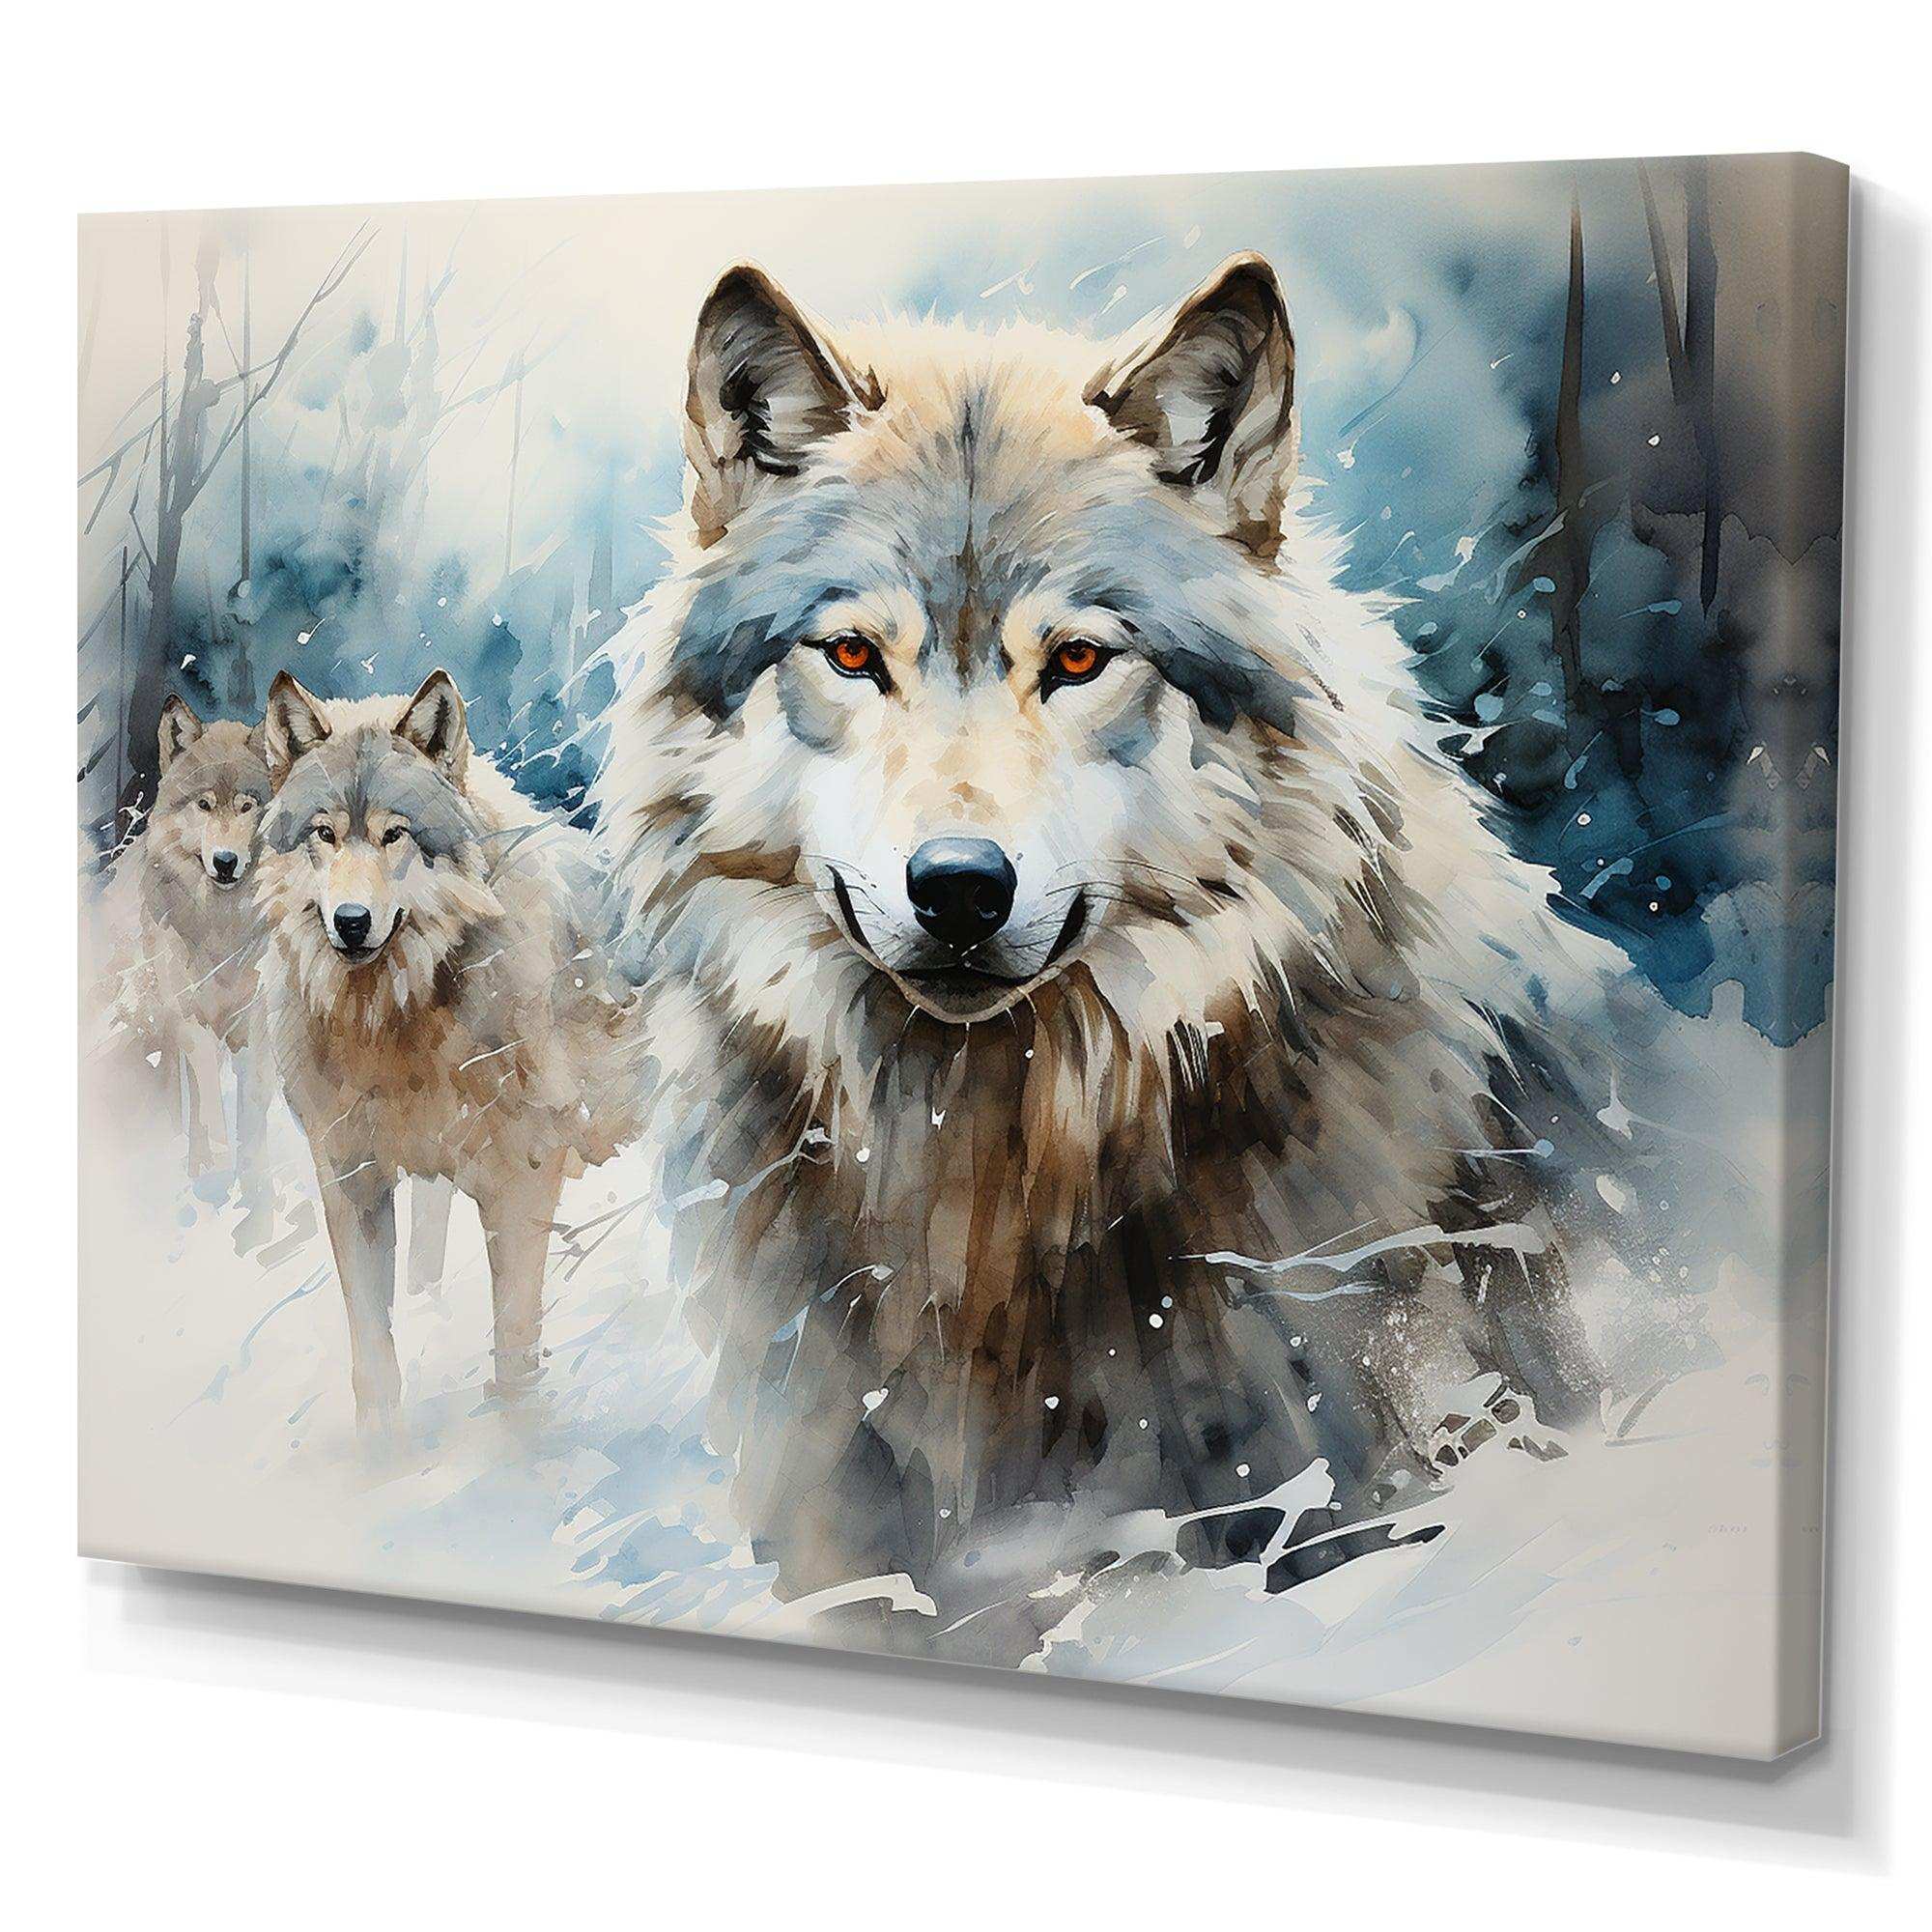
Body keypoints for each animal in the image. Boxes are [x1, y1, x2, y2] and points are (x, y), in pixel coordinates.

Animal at [256, 669, 638, 1431]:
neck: (394, 1017)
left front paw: (518, 1446)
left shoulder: (523, 1179)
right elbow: (372, 1346)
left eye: (394, 835)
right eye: (324, 835)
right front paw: (382, 1452)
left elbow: (514, 1344)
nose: (351, 923)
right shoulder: (351, 1176)